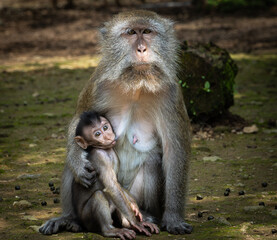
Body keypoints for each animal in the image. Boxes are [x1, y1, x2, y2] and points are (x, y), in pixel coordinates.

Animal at [71, 111, 157, 239]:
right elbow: (111, 185)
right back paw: (111, 230)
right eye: (97, 134)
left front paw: (134, 206)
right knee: (99, 195)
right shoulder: (100, 157)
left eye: (105, 127)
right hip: (87, 220)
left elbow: (117, 184)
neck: (105, 150)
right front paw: (136, 222)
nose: (108, 136)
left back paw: (130, 225)